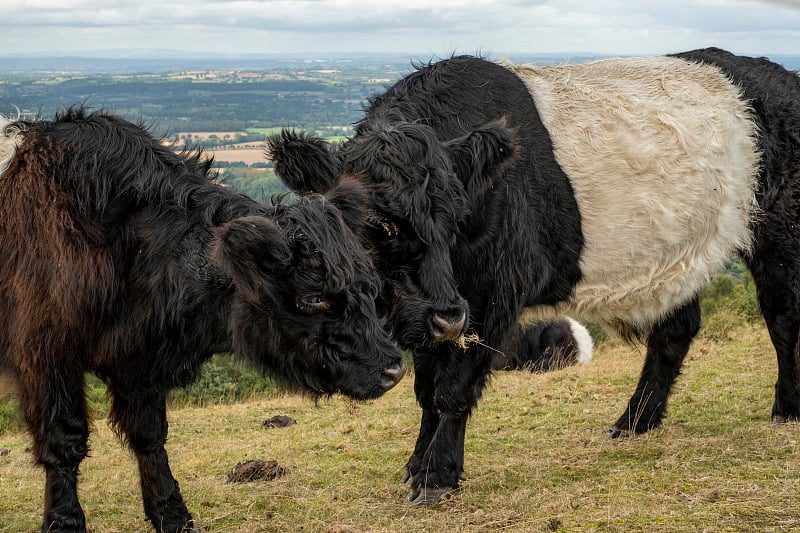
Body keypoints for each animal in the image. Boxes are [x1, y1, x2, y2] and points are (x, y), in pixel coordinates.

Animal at [0, 106, 404, 528]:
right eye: (314, 297)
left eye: (368, 284)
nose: (392, 370)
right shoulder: (46, 357)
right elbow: (64, 441)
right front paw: (65, 520)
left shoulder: (136, 360)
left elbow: (149, 435)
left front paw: (172, 514)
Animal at [268, 48, 800, 502]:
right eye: (382, 223)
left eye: (457, 217)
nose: (447, 316)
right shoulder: (431, 309)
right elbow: (426, 390)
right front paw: (416, 466)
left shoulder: (489, 296)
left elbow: (452, 387)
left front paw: (438, 477)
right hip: (675, 257)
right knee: (676, 329)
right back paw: (634, 422)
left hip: (778, 233)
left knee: (782, 320)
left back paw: (786, 410)